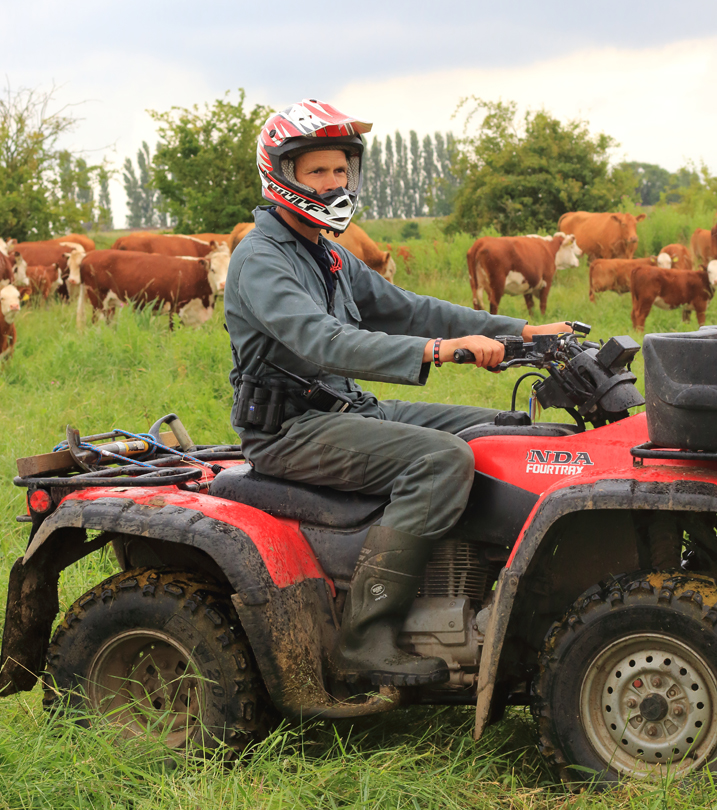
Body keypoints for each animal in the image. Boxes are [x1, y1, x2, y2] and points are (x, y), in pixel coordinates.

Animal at [75, 251, 221, 330]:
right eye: (213, 270)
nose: (223, 285)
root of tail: (89, 255)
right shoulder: (175, 309)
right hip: (98, 302)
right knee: (97, 323)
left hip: (109, 305)